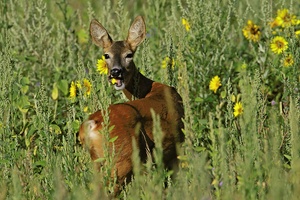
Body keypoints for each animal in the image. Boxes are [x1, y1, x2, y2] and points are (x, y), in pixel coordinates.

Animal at [78, 15, 184, 194]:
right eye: (106, 55)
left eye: (129, 55)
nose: (115, 72)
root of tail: (91, 124)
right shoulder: (176, 147)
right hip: (122, 159)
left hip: (97, 162)